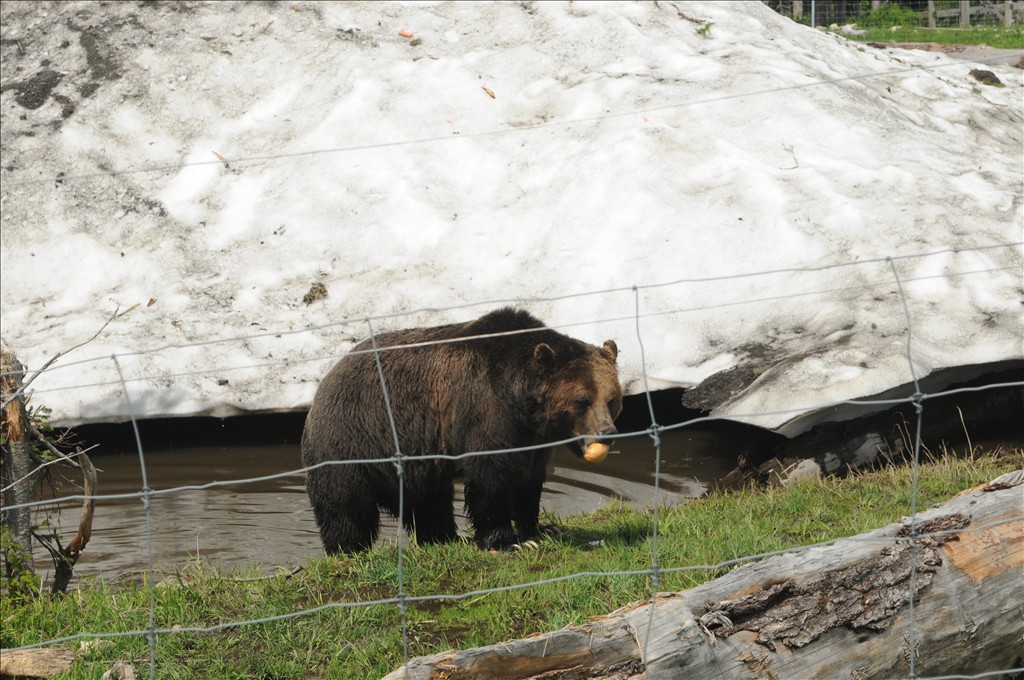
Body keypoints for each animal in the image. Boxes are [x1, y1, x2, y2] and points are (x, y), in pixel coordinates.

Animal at [301, 307, 622, 553]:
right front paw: (505, 542)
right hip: (352, 443)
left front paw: (540, 529)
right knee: (347, 510)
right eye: (582, 401)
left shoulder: (532, 439)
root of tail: (325, 381)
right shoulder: (485, 411)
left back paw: (443, 538)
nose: (607, 432)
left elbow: (529, 482)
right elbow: (491, 478)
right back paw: (348, 549)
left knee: (429, 503)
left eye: (612, 399)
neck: (520, 403)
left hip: (416, 458)